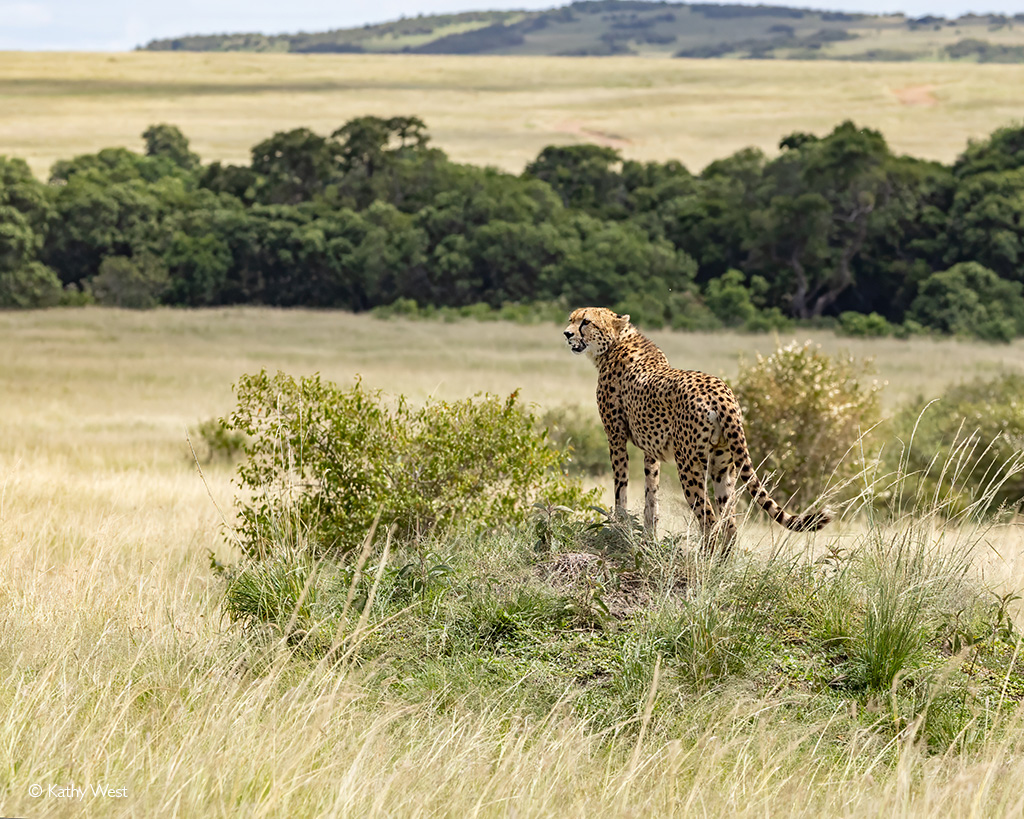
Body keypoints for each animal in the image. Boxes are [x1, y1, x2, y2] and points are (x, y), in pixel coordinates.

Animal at [565, 311, 827, 552]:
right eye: (571, 319)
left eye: (586, 322)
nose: (567, 334)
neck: (615, 344)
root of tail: (721, 392)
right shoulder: (652, 450)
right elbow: (651, 495)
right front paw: (649, 538)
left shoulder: (615, 437)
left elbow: (621, 488)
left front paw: (619, 528)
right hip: (723, 466)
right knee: (730, 523)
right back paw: (721, 566)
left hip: (689, 465)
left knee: (710, 520)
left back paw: (700, 561)